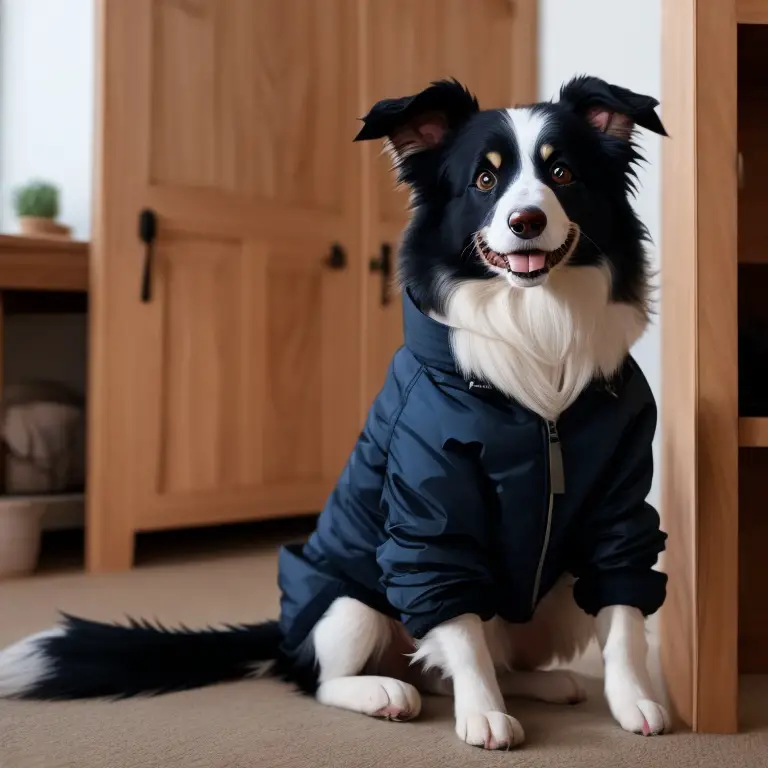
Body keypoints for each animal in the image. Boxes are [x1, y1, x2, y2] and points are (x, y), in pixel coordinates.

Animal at [0, 76, 668, 752]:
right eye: (484, 179)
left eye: (562, 172)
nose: (525, 220)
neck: (536, 337)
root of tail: (285, 636)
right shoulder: (430, 515)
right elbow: (459, 628)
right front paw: (484, 713)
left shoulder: (619, 505)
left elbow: (623, 615)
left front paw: (634, 700)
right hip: (349, 605)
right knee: (330, 679)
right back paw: (383, 692)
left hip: (549, 604)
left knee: (453, 665)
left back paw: (543, 684)